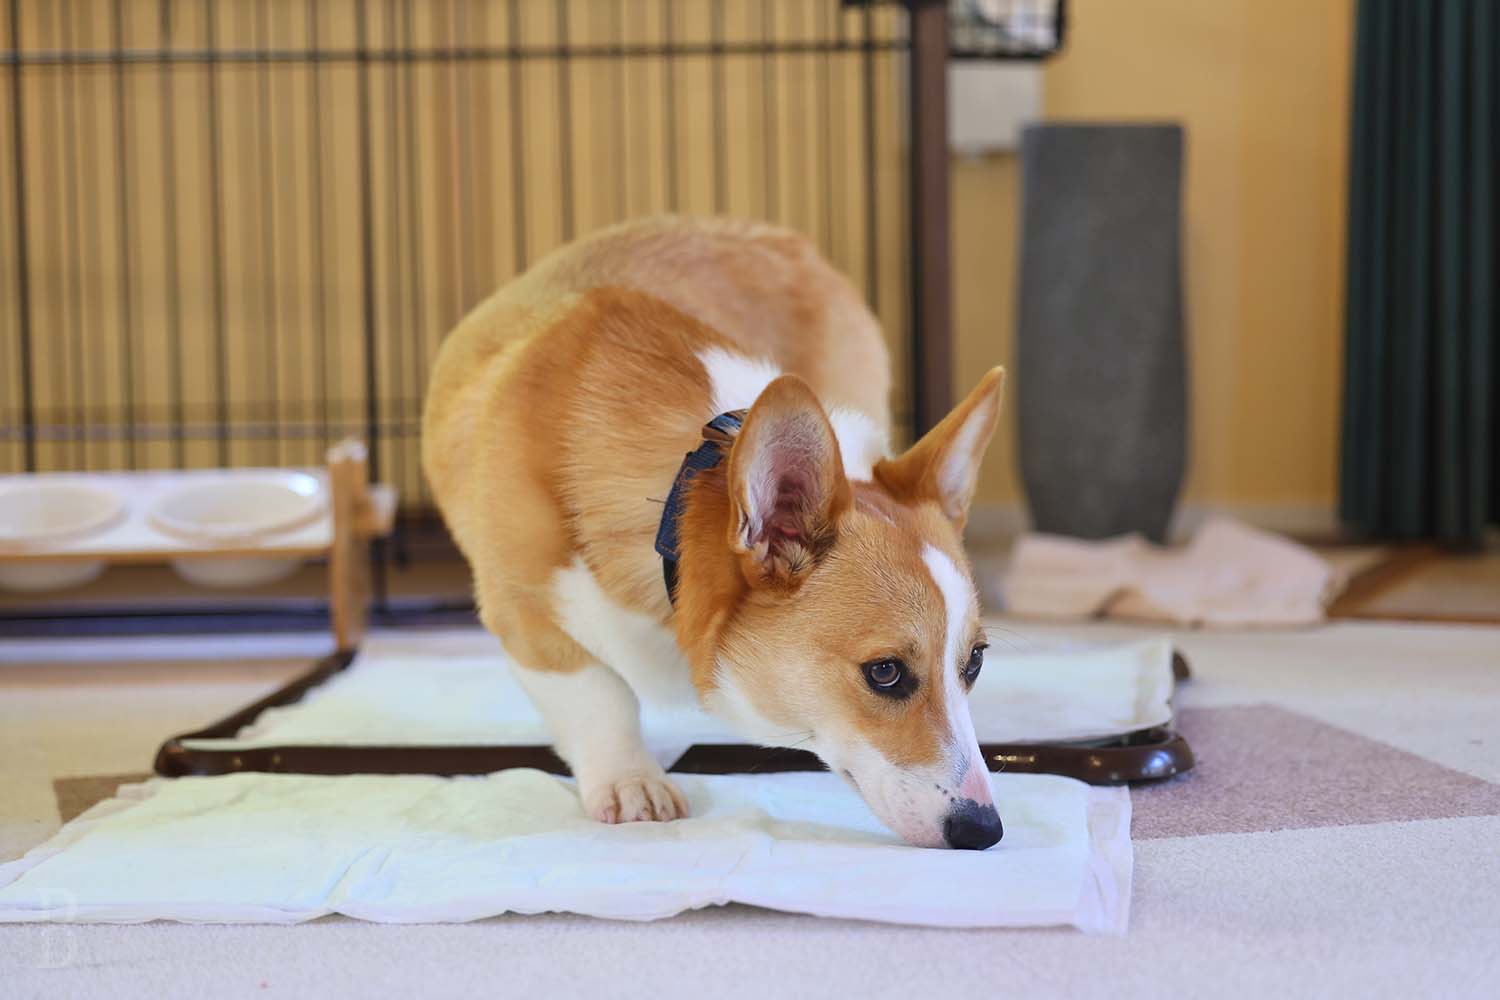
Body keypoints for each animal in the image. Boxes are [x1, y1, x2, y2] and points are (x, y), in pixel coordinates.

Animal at [423, 215, 1008, 851]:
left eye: (974, 663)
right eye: (885, 673)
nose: (985, 830)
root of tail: (780, 239)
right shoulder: (524, 615)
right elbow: (600, 693)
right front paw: (632, 783)